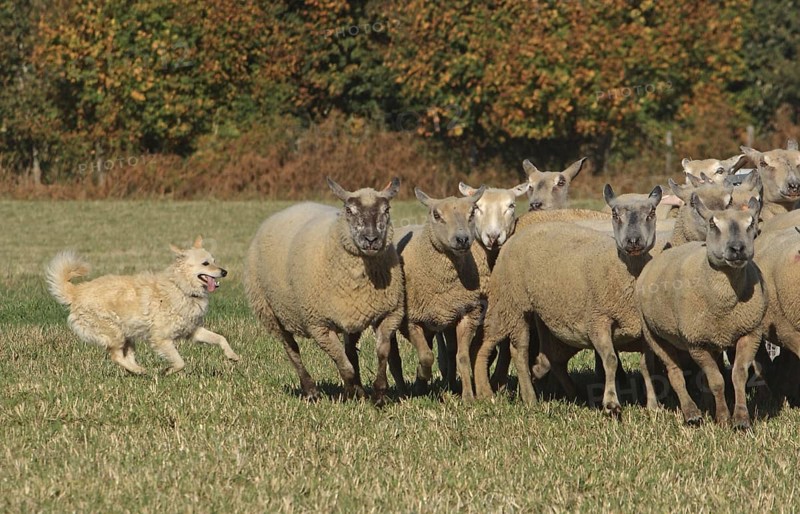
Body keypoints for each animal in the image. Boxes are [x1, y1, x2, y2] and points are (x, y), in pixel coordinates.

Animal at [243, 177, 405, 405]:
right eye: (349, 210)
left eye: (387, 209)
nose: (371, 239)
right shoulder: (319, 325)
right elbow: (343, 364)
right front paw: (350, 394)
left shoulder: (389, 313)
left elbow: (381, 354)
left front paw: (378, 395)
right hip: (269, 311)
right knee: (292, 350)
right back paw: (311, 391)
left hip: (349, 316)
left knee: (350, 351)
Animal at [474, 184, 664, 414]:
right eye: (615, 214)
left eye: (652, 213)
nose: (633, 242)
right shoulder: (597, 320)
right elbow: (610, 360)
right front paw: (611, 403)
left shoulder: (642, 329)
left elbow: (647, 367)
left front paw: (653, 406)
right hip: (511, 303)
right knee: (513, 349)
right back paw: (507, 395)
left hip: (544, 315)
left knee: (543, 356)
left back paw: (555, 392)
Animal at [636, 194, 764, 428]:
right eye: (713, 224)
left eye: (751, 224)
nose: (737, 249)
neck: (724, 303)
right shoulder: (695, 342)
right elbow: (717, 381)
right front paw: (722, 419)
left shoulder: (750, 332)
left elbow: (738, 375)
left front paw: (741, 419)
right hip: (654, 335)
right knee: (675, 374)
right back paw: (692, 414)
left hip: (712, 339)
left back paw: (706, 405)